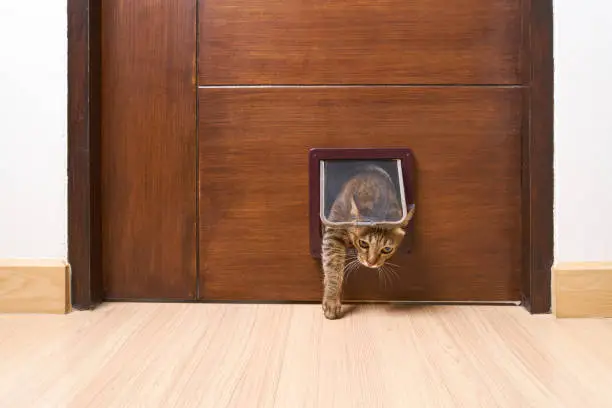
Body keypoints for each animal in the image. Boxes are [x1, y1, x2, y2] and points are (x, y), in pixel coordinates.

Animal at [318, 164, 414, 320]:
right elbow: (333, 266)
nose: (371, 263)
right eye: (363, 243)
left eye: (387, 249)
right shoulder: (334, 230)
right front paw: (331, 300)